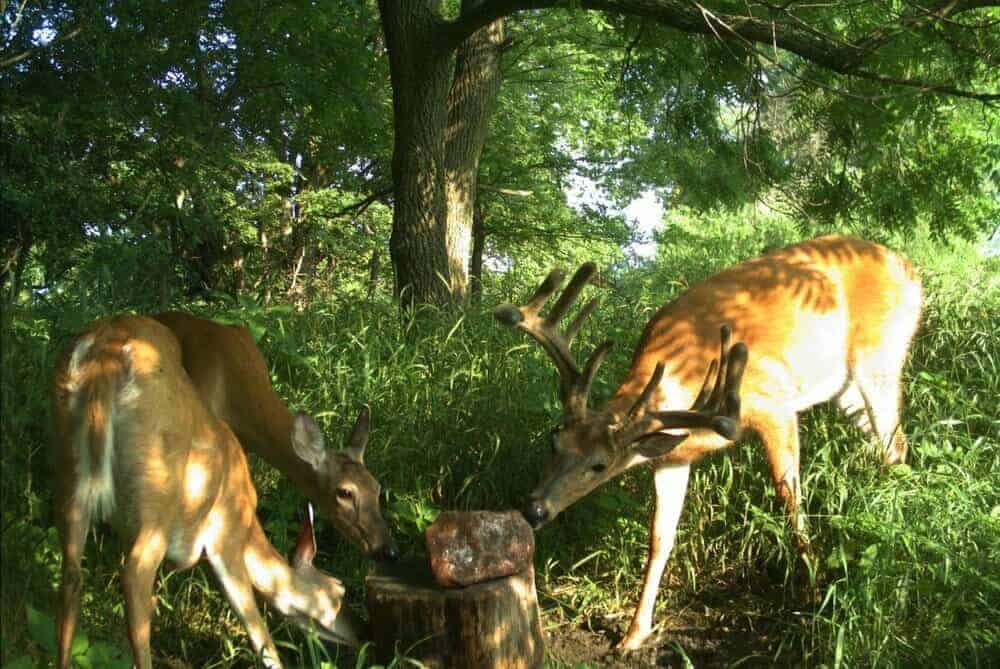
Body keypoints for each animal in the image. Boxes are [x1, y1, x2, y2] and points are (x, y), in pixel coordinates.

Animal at [50, 318, 364, 668]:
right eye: (338, 590)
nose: (363, 632)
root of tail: (106, 356)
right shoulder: (226, 538)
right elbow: (257, 628)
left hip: (69, 472)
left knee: (71, 577)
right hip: (158, 493)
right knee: (134, 579)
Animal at [496, 235, 924, 648]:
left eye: (599, 465)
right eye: (555, 441)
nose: (534, 509)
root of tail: (909, 268)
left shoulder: (776, 406)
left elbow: (791, 501)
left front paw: (814, 590)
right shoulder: (672, 457)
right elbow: (660, 537)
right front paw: (634, 634)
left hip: (879, 357)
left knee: (894, 444)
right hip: (846, 389)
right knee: (891, 448)